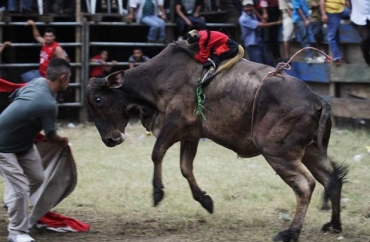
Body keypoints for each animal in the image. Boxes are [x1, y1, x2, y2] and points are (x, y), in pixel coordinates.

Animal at [85, 40, 348, 241]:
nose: (109, 140)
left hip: (278, 153)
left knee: (305, 185)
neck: (158, 78)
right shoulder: (190, 135)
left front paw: (158, 192)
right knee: (332, 180)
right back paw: (334, 225)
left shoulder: (175, 124)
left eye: (98, 100)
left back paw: (290, 232)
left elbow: (157, 153)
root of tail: (317, 100)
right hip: (312, 152)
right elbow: (185, 167)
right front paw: (205, 200)